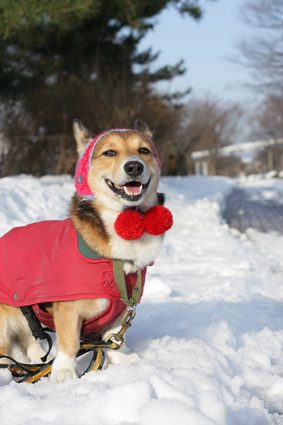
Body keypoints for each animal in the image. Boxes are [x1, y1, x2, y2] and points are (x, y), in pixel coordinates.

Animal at [0, 119, 172, 380]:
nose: (134, 167)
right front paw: (64, 371)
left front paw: (121, 360)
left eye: (144, 150)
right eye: (109, 152)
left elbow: (114, 338)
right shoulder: (67, 310)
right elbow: (70, 342)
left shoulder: (120, 310)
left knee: (30, 339)